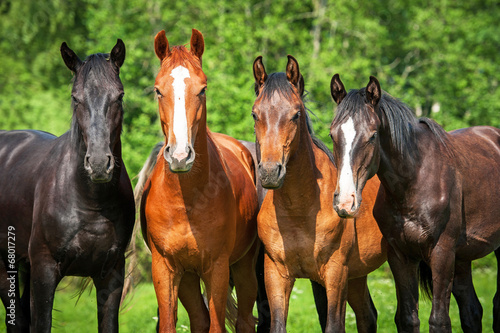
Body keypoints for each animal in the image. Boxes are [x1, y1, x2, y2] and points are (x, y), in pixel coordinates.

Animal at [0, 39, 135, 332]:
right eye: (75, 98)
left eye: (119, 96)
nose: (99, 164)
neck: (90, 202)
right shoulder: (44, 271)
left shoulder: (111, 275)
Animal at [140, 29, 260, 332]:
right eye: (158, 90)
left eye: (202, 89)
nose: (180, 156)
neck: (186, 202)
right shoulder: (166, 269)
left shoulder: (216, 268)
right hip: (188, 279)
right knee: (199, 319)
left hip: (242, 268)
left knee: (243, 320)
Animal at [250, 55, 386, 330]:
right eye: (255, 114)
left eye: (296, 114)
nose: (269, 172)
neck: (300, 211)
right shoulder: (276, 275)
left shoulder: (335, 274)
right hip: (357, 275)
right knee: (367, 315)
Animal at [328, 74, 500, 330]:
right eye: (332, 135)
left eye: (372, 135)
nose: (345, 202)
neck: (413, 183)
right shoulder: (400, 255)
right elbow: (408, 318)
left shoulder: (442, 253)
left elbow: (439, 320)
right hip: (462, 258)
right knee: (472, 311)